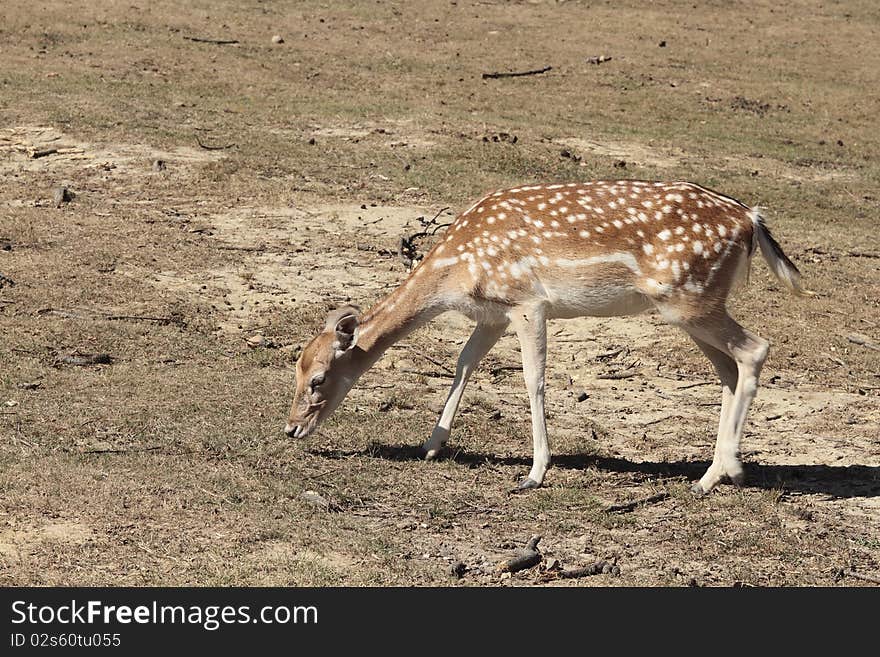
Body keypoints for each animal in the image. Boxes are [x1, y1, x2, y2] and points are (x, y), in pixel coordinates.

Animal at [284, 179, 812, 492]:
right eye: (296, 368)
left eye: (318, 379)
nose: (290, 429)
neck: (457, 271)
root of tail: (752, 220)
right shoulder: (492, 314)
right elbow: (463, 364)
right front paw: (431, 445)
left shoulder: (528, 303)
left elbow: (533, 380)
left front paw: (534, 472)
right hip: (692, 306)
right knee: (728, 368)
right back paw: (711, 473)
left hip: (689, 298)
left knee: (755, 349)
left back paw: (728, 470)